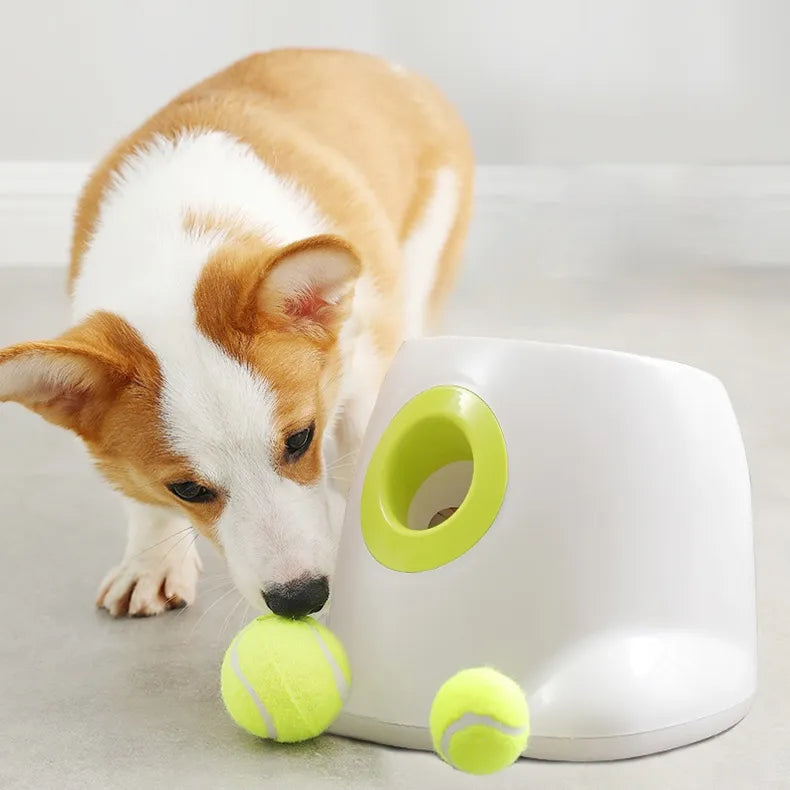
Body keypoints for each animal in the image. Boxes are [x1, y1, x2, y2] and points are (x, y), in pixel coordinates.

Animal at [0, 49, 474, 620]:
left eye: (300, 439)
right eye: (186, 488)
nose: (302, 598)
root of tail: (387, 67)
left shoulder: (364, 364)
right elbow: (145, 502)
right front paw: (150, 563)